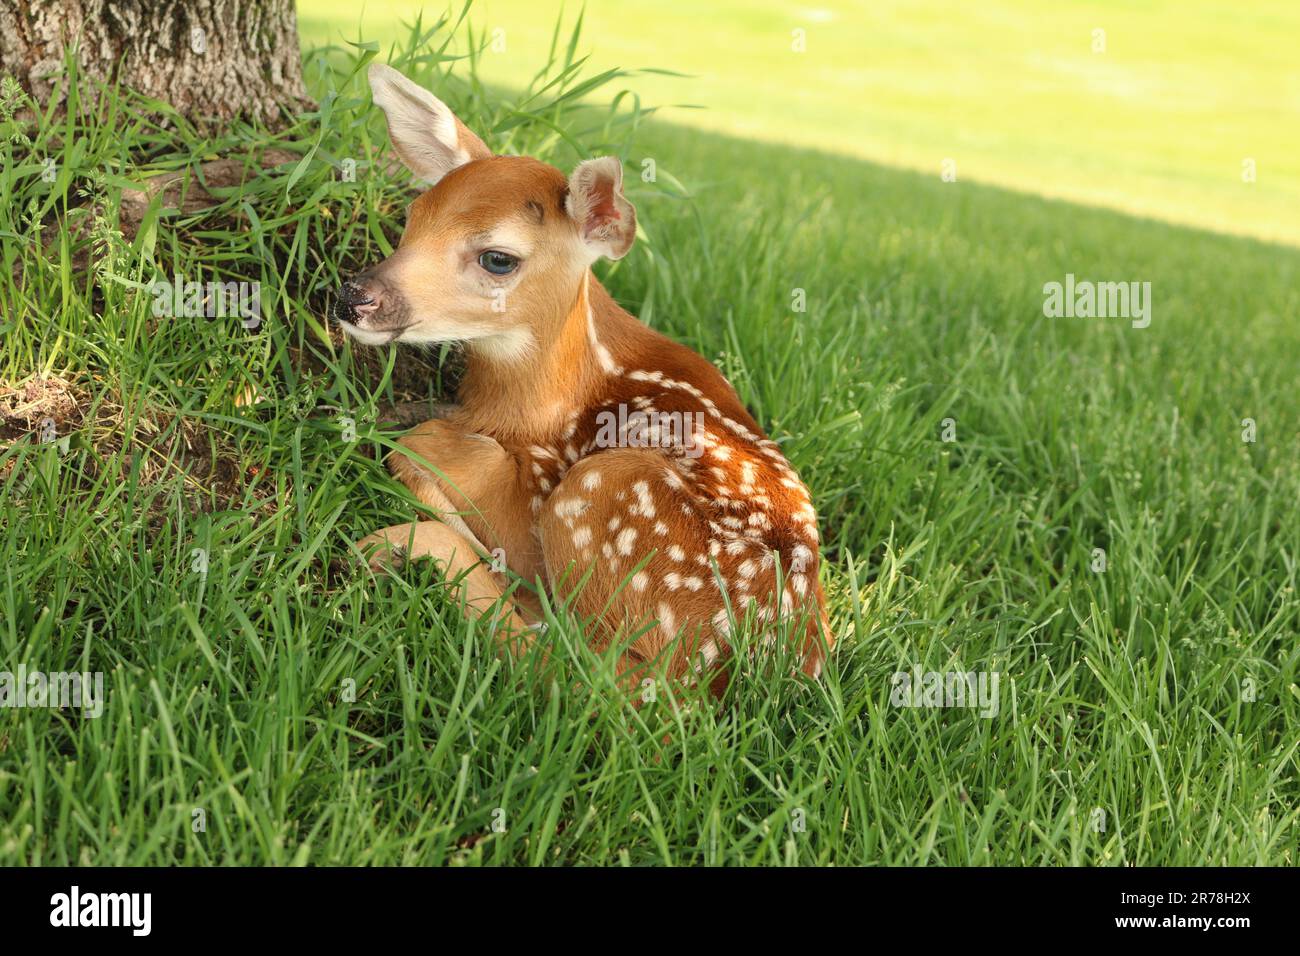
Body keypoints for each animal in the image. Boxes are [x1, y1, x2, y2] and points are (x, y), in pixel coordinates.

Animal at [338, 63, 832, 695]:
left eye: (498, 258)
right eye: (412, 217)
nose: (355, 297)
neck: (526, 407)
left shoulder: (533, 493)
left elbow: (422, 447)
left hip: (603, 495)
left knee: (593, 675)